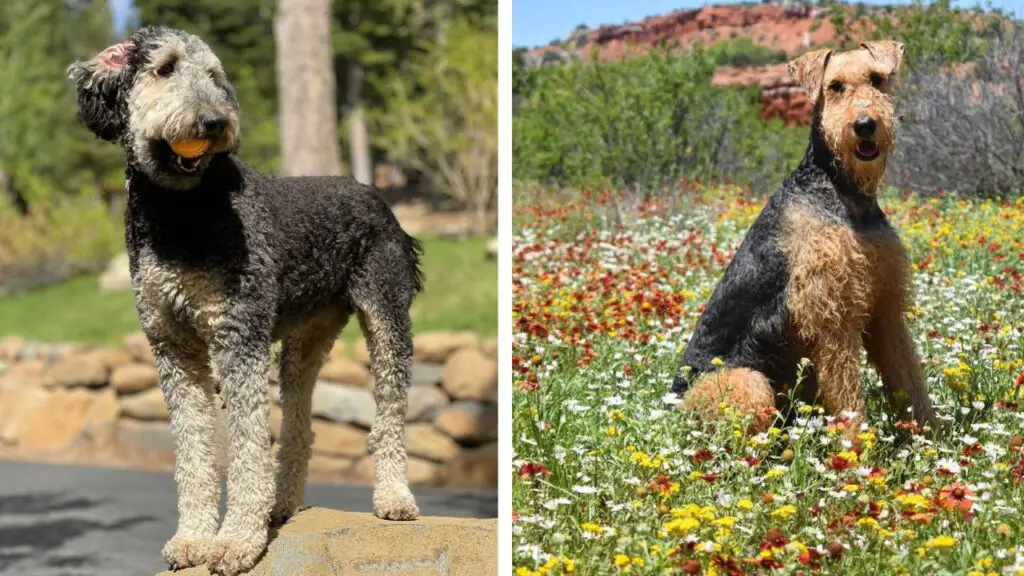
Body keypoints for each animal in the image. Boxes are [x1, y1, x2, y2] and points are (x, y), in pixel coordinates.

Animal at [69, 25, 419, 569]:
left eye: (214, 75)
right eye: (165, 68)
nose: (215, 121)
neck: (181, 210)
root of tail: (376, 194)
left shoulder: (238, 337)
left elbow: (246, 447)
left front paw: (236, 541)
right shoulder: (173, 347)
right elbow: (193, 452)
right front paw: (193, 537)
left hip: (386, 322)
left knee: (389, 418)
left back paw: (394, 497)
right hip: (303, 344)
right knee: (300, 428)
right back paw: (282, 505)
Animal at [667, 41, 937, 438]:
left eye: (876, 79)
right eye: (835, 86)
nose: (864, 126)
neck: (845, 194)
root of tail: (671, 408)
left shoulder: (885, 310)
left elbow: (910, 381)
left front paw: (932, 436)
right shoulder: (831, 321)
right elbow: (849, 399)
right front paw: (859, 448)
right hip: (749, 385)